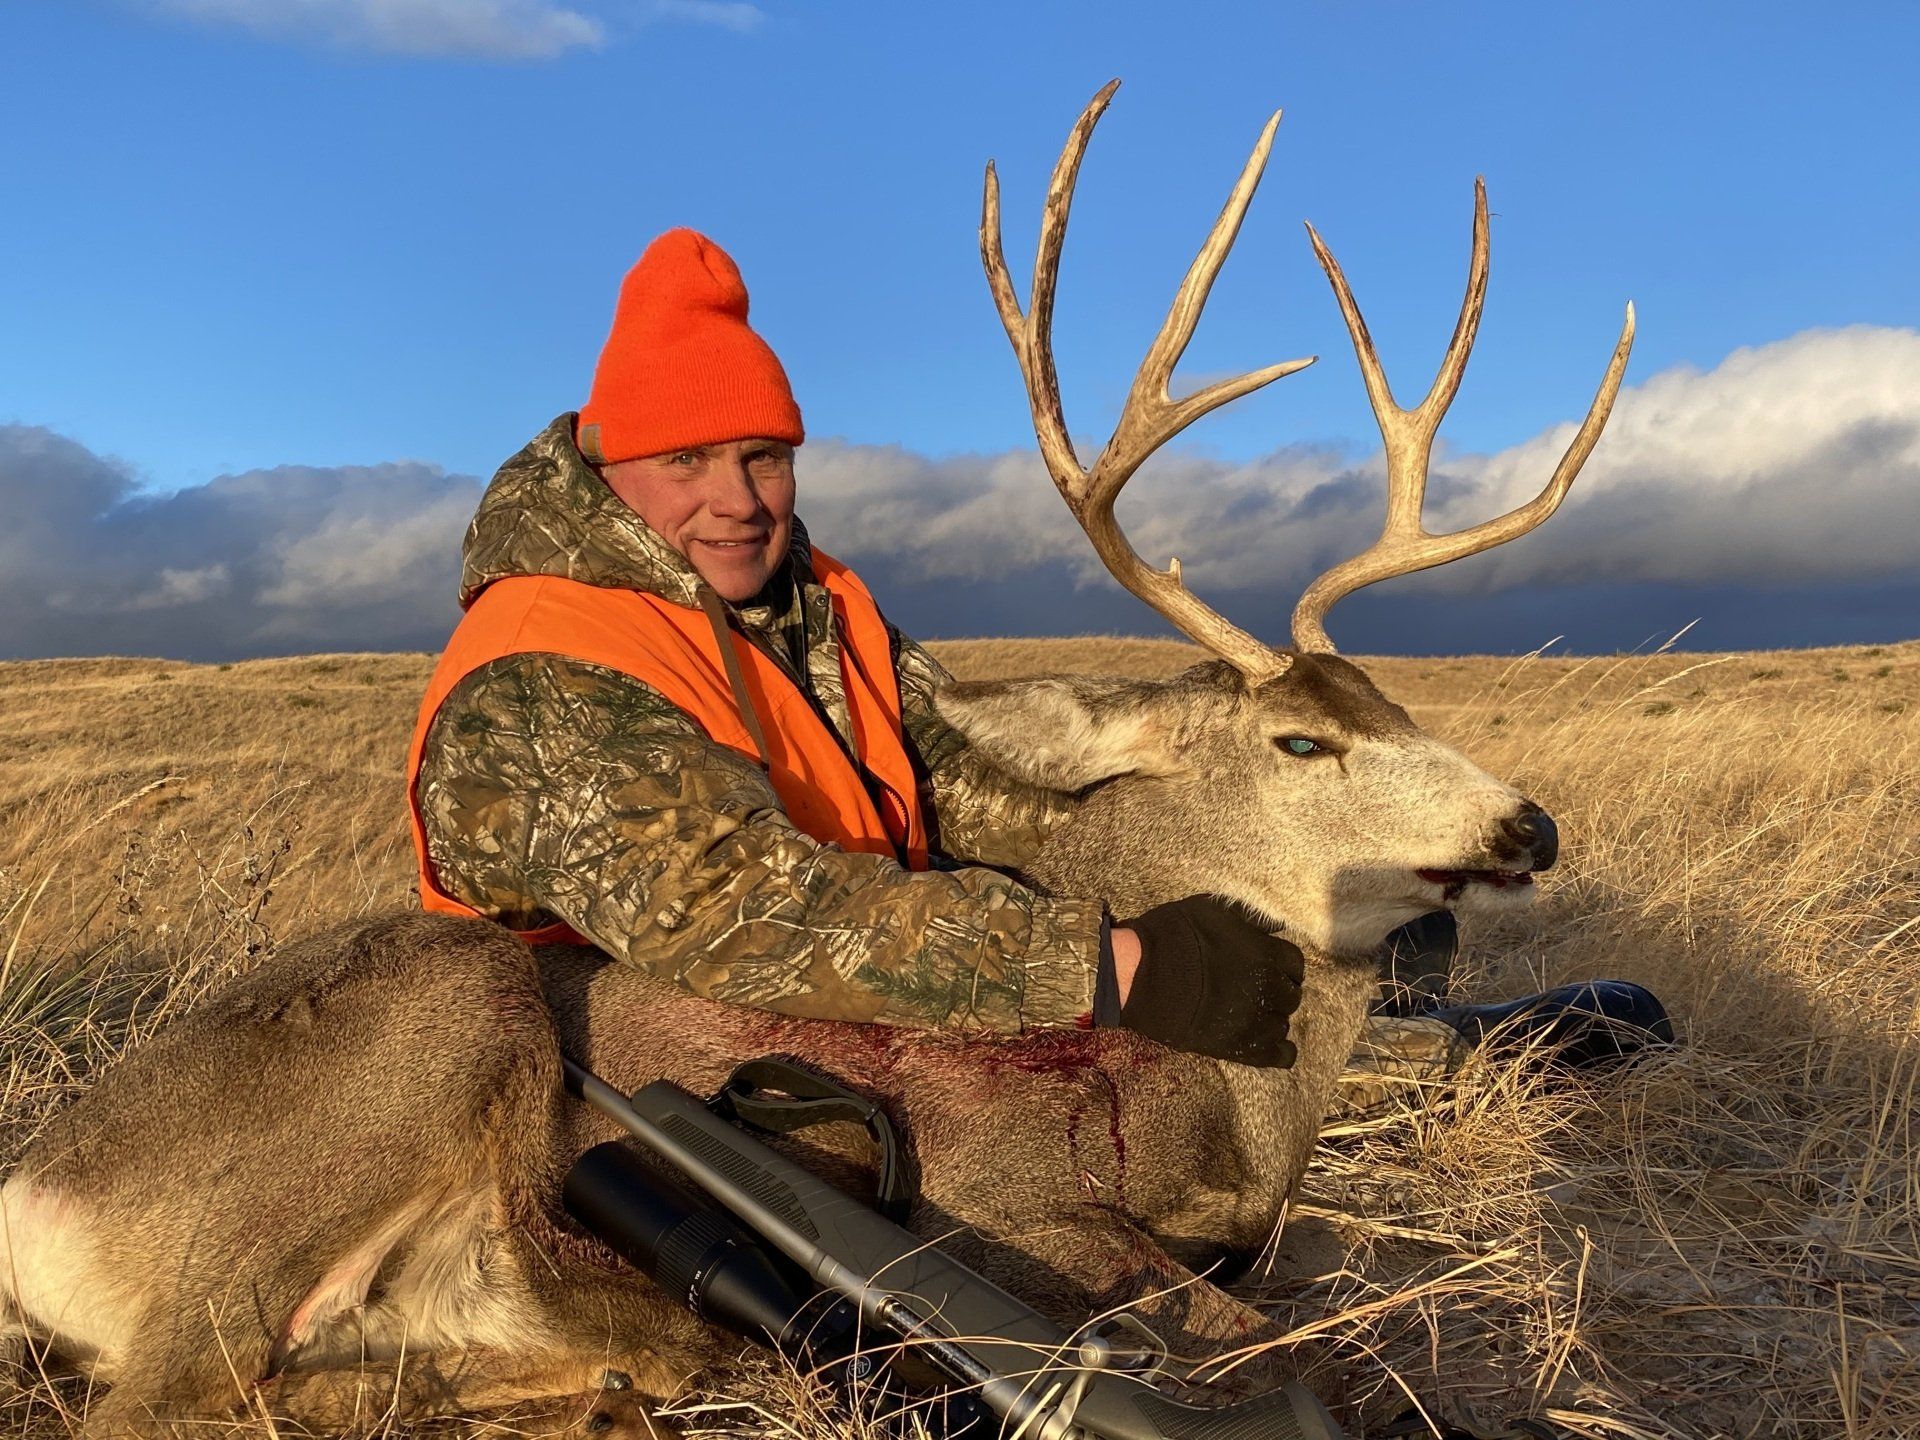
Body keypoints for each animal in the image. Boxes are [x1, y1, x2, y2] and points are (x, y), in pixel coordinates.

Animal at [0, 82, 1633, 1439]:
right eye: (1302, 737)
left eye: (1400, 705)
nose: (1529, 828)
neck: (1224, 1096)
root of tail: (35, 1196)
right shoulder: (1008, 1200)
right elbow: (1279, 1348)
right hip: (428, 1029)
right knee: (164, 1401)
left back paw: (609, 1373)